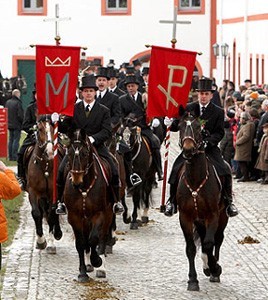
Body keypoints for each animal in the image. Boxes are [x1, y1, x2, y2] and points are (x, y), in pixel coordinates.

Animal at [25, 116, 62, 253]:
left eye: (54, 128)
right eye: (39, 129)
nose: (50, 152)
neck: (45, 164)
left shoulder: (52, 193)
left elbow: (51, 214)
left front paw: (51, 243)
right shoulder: (33, 192)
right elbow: (36, 214)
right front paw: (41, 241)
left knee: (53, 212)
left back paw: (57, 233)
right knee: (42, 213)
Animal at [64, 128, 114, 282]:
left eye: (85, 153)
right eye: (68, 153)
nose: (76, 181)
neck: (85, 186)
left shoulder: (99, 214)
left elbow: (94, 239)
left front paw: (97, 260)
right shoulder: (74, 216)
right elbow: (81, 243)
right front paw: (82, 272)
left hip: (108, 214)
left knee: (102, 236)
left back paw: (100, 267)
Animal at [176, 113, 228, 292]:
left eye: (199, 128)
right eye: (180, 127)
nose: (188, 149)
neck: (196, 179)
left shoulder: (213, 215)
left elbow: (208, 244)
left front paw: (214, 268)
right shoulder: (185, 217)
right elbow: (191, 248)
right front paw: (193, 280)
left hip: (222, 217)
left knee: (217, 239)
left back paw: (213, 270)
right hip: (199, 220)